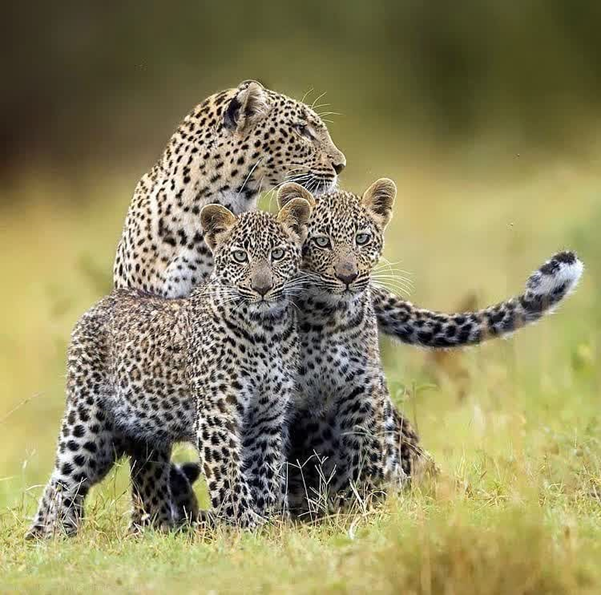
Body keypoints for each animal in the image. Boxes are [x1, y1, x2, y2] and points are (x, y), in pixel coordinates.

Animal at [25, 197, 312, 540]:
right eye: (240, 256)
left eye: (277, 254)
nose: (262, 288)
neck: (266, 329)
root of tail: (101, 303)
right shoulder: (217, 415)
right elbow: (229, 477)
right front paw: (245, 527)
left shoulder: (267, 417)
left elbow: (266, 475)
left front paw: (270, 524)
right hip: (88, 422)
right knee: (64, 479)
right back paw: (55, 537)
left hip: (110, 441)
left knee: (61, 480)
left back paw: (47, 535)